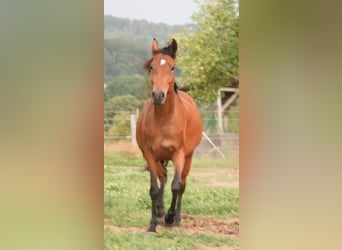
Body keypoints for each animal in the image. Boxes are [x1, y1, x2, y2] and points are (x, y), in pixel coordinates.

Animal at [136, 38, 202, 232]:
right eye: (151, 67)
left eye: (172, 68)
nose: (159, 95)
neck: (164, 120)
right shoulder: (150, 154)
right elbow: (154, 189)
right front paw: (153, 224)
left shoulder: (179, 154)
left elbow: (176, 185)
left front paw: (170, 217)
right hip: (159, 158)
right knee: (163, 177)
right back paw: (159, 212)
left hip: (188, 157)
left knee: (182, 184)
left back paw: (176, 220)